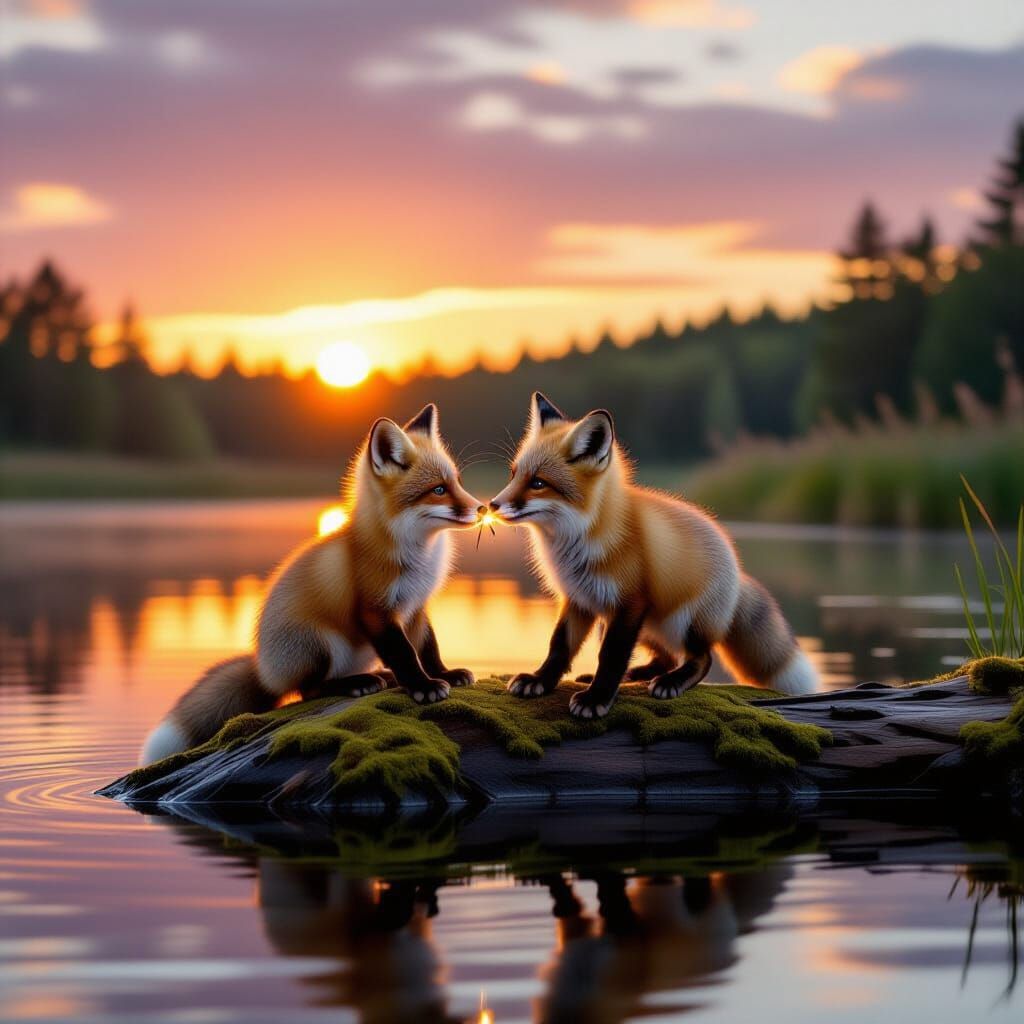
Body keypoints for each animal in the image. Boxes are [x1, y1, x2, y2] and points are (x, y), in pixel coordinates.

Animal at [140, 404, 482, 766]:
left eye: (458, 482)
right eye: (439, 489)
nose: (481, 508)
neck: (418, 554)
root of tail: (263, 668)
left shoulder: (416, 606)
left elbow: (428, 647)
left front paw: (443, 674)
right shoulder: (377, 610)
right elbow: (403, 652)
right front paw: (422, 687)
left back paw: (380, 678)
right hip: (320, 644)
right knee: (308, 690)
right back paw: (357, 683)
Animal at [488, 392, 817, 719]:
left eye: (538, 483)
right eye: (514, 475)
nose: (491, 505)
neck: (583, 537)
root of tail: (738, 571)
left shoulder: (629, 603)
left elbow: (611, 656)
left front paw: (597, 698)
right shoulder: (578, 599)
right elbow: (559, 645)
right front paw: (541, 680)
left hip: (680, 622)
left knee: (701, 659)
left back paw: (671, 681)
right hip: (641, 625)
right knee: (667, 657)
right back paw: (634, 676)